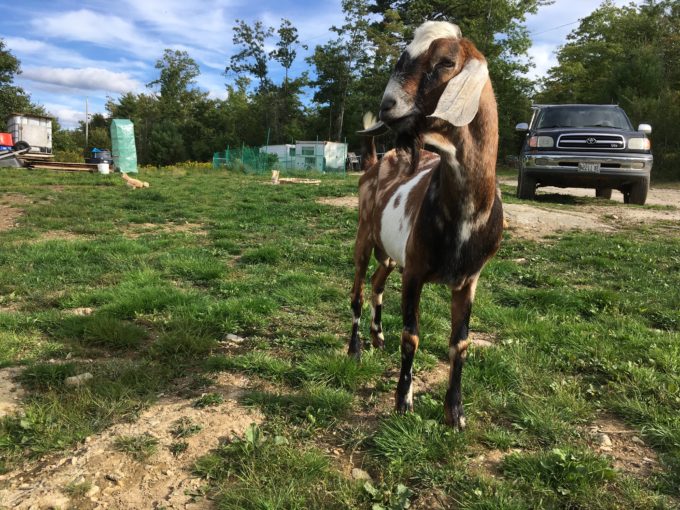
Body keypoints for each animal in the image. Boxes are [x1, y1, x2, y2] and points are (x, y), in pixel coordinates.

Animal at [348, 19, 502, 428]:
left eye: (446, 61)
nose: (387, 106)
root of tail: (374, 163)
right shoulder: (415, 272)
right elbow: (411, 336)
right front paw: (404, 401)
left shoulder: (468, 280)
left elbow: (460, 343)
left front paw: (455, 414)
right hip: (364, 237)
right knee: (357, 291)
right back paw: (355, 349)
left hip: (390, 254)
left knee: (376, 282)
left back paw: (376, 337)